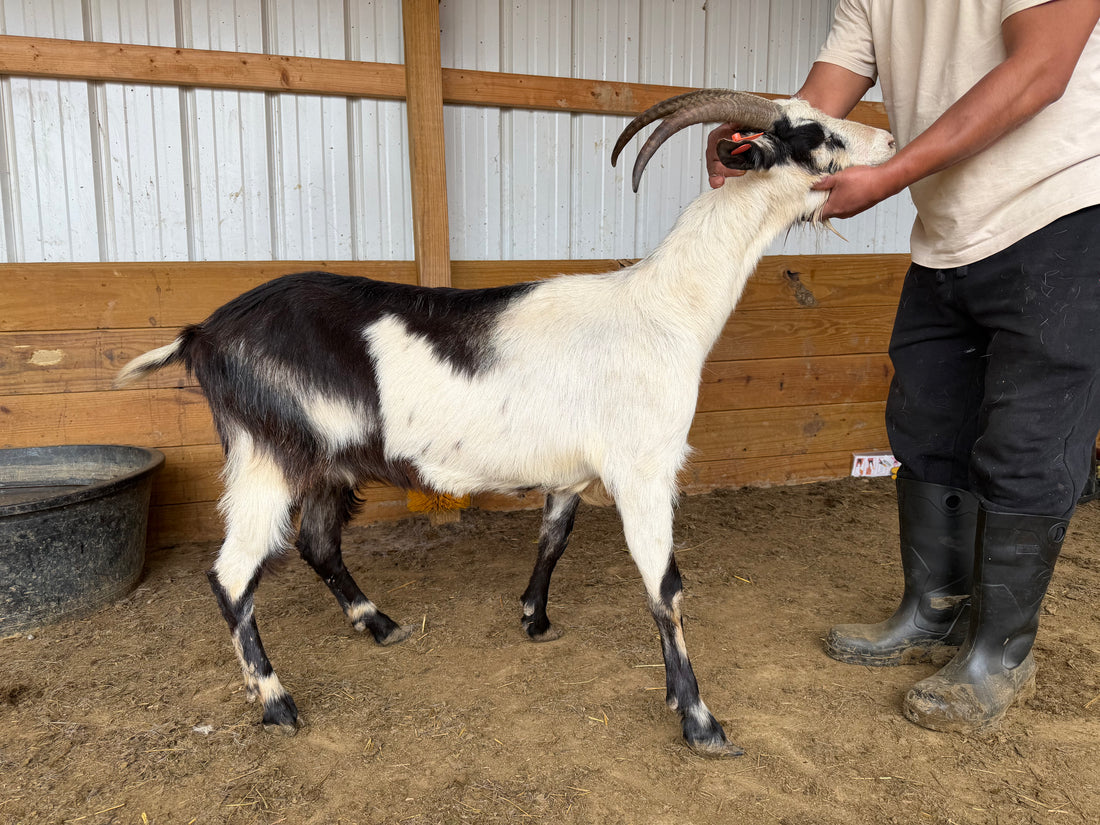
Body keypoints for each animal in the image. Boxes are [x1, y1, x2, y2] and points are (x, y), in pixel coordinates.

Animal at [116, 90, 895, 756]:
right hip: (268, 454)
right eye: (814, 133)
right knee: (232, 574)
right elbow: (664, 587)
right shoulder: (644, 467)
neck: (664, 307)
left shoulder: (571, 475)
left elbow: (553, 540)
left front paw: (534, 620)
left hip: (326, 463)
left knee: (316, 543)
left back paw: (380, 625)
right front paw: (700, 719)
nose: (889, 138)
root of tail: (203, 334)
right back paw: (277, 701)